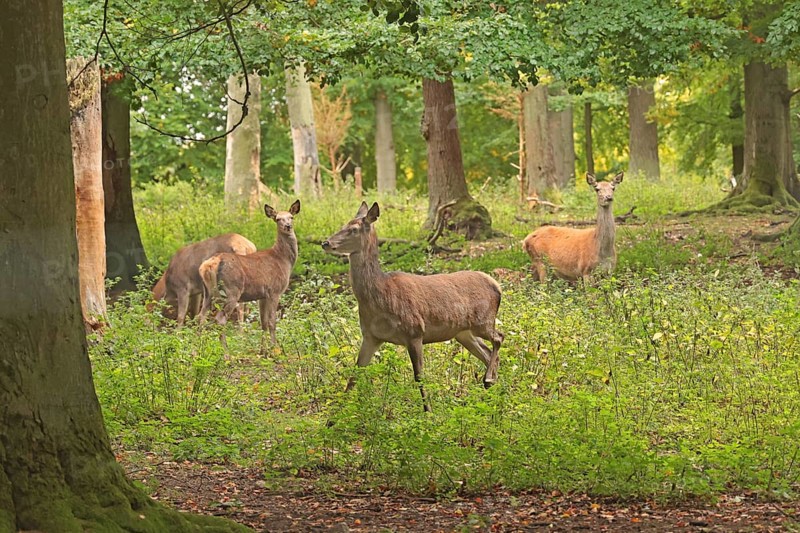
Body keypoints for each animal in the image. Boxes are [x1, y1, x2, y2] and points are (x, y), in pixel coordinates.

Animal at [198, 200, 300, 351]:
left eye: (291, 217)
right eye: (277, 219)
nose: (288, 226)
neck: (283, 259)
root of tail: (209, 264)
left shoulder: (262, 295)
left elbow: (263, 322)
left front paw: (263, 351)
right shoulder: (274, 291)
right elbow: (272, 322)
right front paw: (275, 349)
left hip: (207, 293)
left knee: (200, 318)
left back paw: (195, 352)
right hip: (231, 290)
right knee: (220, 319)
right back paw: (226, 352)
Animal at [321, 202, 504, 412]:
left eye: (353, 229)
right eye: (344, 224)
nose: (325, 243)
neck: (379, 297)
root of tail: (497, 285)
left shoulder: (415, 331)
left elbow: (419, 377)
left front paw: (428, 412)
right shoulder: (371, 336)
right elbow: (353, 376)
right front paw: (335, 416)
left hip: (483, 320)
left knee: (499, 338)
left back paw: (489, 380)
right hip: (463, 333)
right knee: (488, 353)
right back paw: (492, 392)